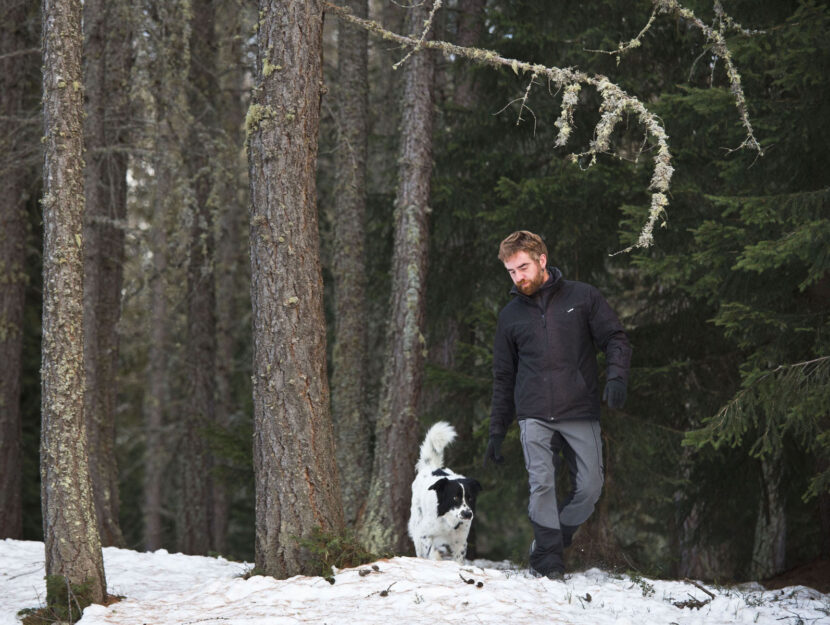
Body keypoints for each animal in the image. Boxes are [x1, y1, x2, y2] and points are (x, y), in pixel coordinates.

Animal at [408, 420, 480, 560]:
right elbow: (429, 553)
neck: (448, 521)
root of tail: (431, 467)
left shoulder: (461, 542)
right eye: (455, 497)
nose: (468, 514)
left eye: (470, 498)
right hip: (417, 524)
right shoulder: (425, 535)